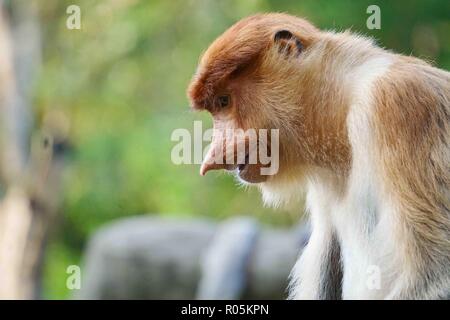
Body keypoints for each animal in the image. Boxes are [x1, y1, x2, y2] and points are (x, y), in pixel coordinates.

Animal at [186, 13, 450, 300]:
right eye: (216, 108)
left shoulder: (399, 102)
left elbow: (437, 270)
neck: (343, 104)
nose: (213, 157)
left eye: (224, 101)